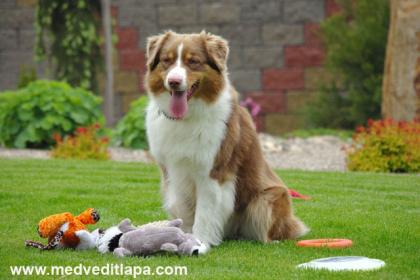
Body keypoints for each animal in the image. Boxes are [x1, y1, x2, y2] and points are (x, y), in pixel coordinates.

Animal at [145, 30, 308, 254]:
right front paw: (183, 237)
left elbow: (204, 213)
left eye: (193, 62)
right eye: (166, 61)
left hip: (268, 199)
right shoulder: (174, 172)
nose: (174, 82)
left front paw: (199, 242)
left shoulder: (212, 172)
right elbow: (184, 210)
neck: (188, 117)